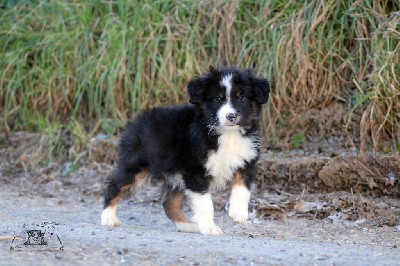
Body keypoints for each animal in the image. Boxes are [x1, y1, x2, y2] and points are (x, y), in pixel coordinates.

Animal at [100, 66, 270, 235]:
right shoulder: (195, 171)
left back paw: (186, 225)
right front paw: (209, 227)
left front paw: (238, 213)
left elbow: (243, 188)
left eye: (241, 98)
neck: (227, 134)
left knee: (169, 203)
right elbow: (205, 203)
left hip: (177, 175)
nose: (231, 116)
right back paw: (108, 218)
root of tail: (136, 121)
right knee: (114, 186)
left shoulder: (246, 161)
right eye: (218, 98)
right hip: (136, 165)